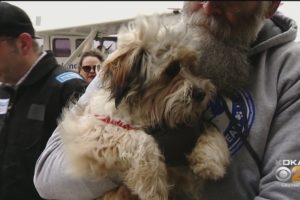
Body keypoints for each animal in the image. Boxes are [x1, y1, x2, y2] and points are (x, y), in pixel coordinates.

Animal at [59, 16, 231, 200]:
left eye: (192, 67)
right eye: (172, 70)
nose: (201, 93)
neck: (146, 111)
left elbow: (211, 129)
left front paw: (210, 160)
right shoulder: (89, 133)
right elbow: (137, 138)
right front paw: (152, 183)